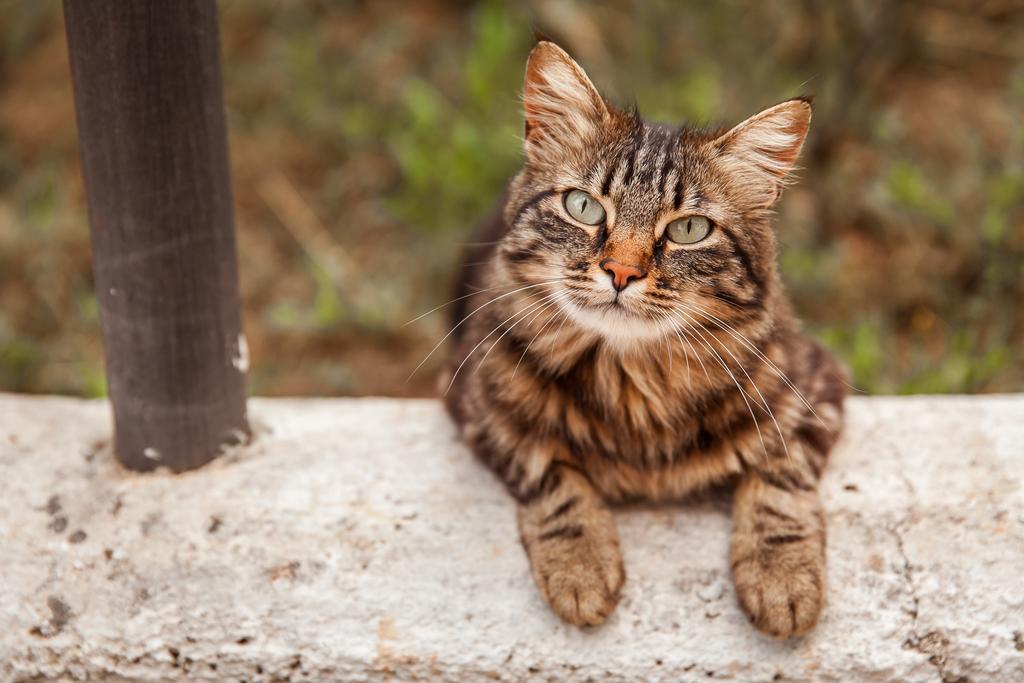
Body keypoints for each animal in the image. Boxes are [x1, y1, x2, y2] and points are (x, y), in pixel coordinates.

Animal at [444, 41, 843, 643]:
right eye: (583, 206)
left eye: (688, 230)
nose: (621, 272)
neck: (634, 379)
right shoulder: (476, 400)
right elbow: (549, 472)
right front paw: (580, 568)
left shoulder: (817, 388)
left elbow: (778, 479)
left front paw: (782, 578)